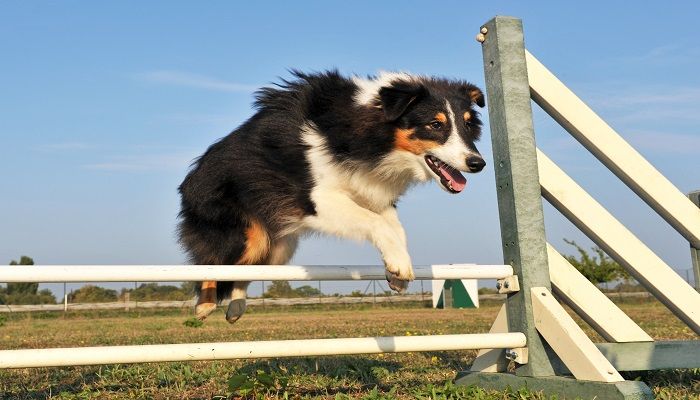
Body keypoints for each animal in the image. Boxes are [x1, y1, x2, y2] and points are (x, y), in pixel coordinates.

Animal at [179, 70, 486, 324]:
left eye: (468, 126)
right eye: (435, 124)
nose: (477, 163)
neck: (369, 135)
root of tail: (189, 180)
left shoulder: (373, 191)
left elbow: (396, 228)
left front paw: (396, 271)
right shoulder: (318, 198)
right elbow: (376, 223)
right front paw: (399, 265)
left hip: (279, 246)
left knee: (245, 272)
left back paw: (236, 307)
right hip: (244, 232)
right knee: (213, 263)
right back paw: (205, 305)